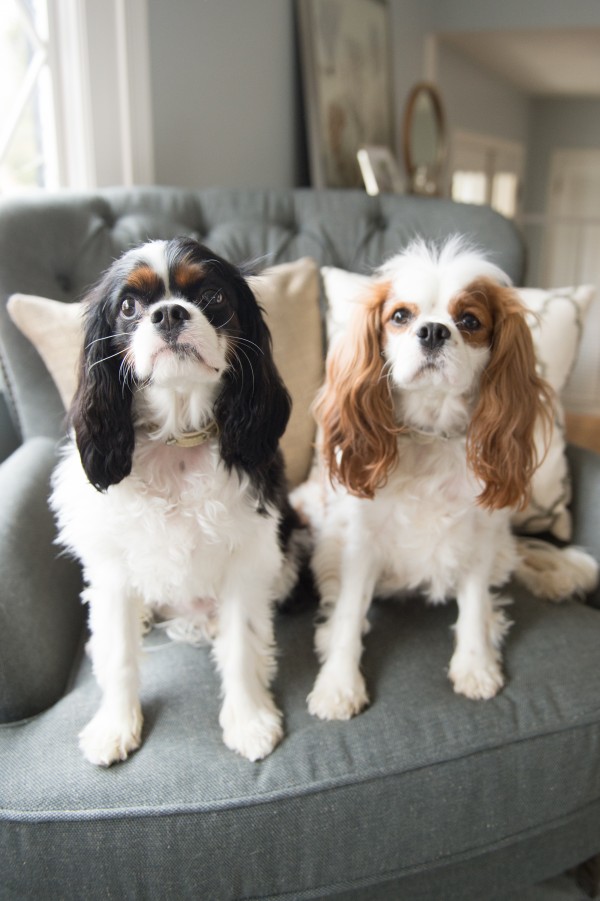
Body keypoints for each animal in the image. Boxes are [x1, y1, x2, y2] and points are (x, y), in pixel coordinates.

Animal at [50, 236, 304, 764]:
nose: (168, 313)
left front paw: (248, 720)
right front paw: (115, 725)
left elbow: (241, 645)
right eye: (128, 306)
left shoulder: (248, 557)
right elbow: (120, 654)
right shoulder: (112, 567)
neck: (177, 434)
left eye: (212, 297)